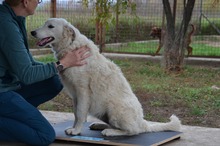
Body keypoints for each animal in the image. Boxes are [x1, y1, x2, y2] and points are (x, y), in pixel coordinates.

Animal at [31, 18, 181, 137]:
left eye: (50, 26)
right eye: (44, 24)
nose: (32, 32)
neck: (70, 45)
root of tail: (143, 123)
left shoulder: (82, 91)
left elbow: (80, 113)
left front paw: (76, 131)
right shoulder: (75, 95)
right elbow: (75, 114)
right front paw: (74, 128)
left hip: (114, 109)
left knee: (133, 131)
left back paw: (110, 132)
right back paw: (99, 125)